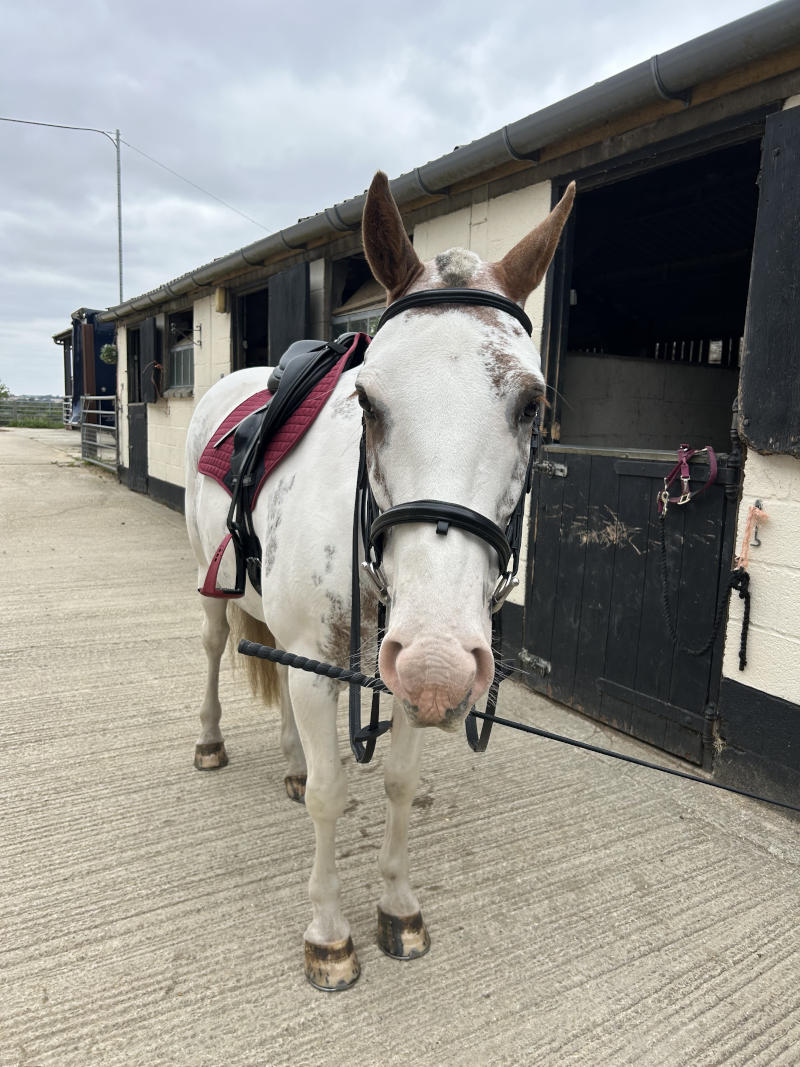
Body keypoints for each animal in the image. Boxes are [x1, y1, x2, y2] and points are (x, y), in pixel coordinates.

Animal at [184, 171, 575, 990]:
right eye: (367, 400)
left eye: (532, 404)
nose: (439, 664)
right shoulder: (328, 661)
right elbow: (333, 794)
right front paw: (329, 936)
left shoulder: (395, 669)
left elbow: (395, 782)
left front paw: (398, 908)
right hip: (213, 596)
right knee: (212, 649)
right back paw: (209, 742)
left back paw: (292, 763)